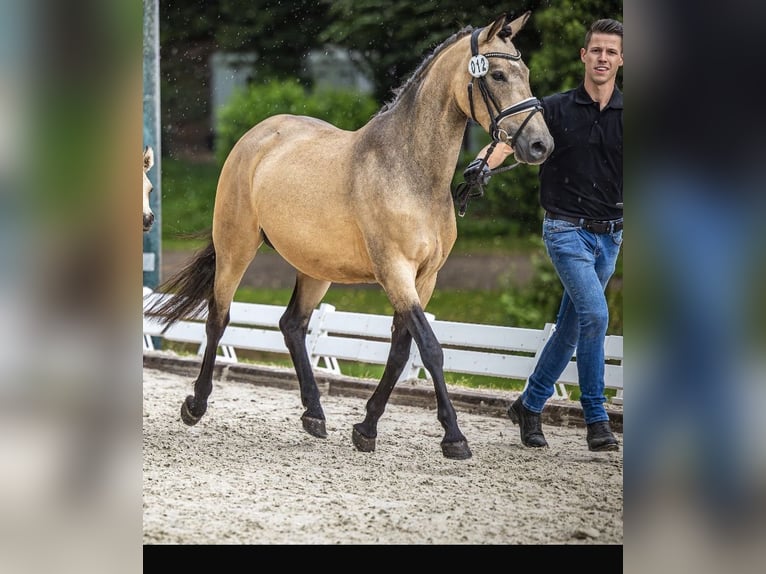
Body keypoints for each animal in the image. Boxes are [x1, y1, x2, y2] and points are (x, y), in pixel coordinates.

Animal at [145, 12, 553, 460]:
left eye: (526, 73)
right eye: (497, 74)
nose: (540, 145)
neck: (412, 172)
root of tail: (258, 134)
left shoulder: (425, 278)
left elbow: (401, 351)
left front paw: (366, 428)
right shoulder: (395, 271)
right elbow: (430, 349)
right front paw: (454, 437)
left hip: (315, 267)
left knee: (292, 325)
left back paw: (314, 415)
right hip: (236, 247)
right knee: (218, 317)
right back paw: (196, 405)